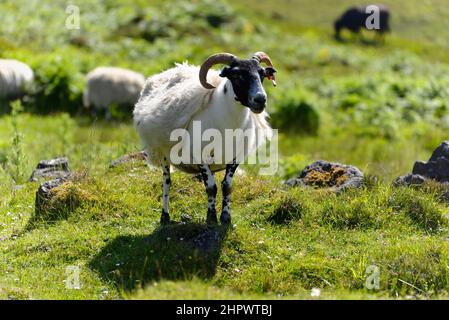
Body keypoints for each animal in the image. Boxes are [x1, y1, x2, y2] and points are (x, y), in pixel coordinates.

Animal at [133, 51, 276, 225]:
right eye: (236, 75)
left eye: (262, 74)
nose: (260, 100)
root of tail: (167, 71)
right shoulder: (198, 156)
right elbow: (211, 187)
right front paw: (211, 218)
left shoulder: (235, 158)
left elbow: (226, 186)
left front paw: (226, 217)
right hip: (163, 153)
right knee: (166, 182)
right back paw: (165, 217)